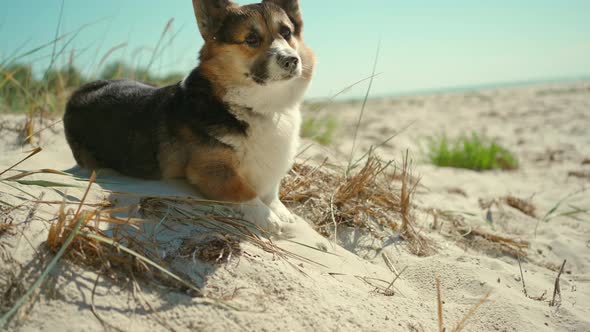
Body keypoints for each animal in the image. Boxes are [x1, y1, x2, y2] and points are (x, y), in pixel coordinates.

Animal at [63, 0, 316, 235]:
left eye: (286, 32)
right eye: (252, 38)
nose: (291, 60)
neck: (260, 106)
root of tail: (77, 94)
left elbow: (272, 190)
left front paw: (281, 212)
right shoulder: (209, 170)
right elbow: (243, 190)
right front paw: (268, 217)